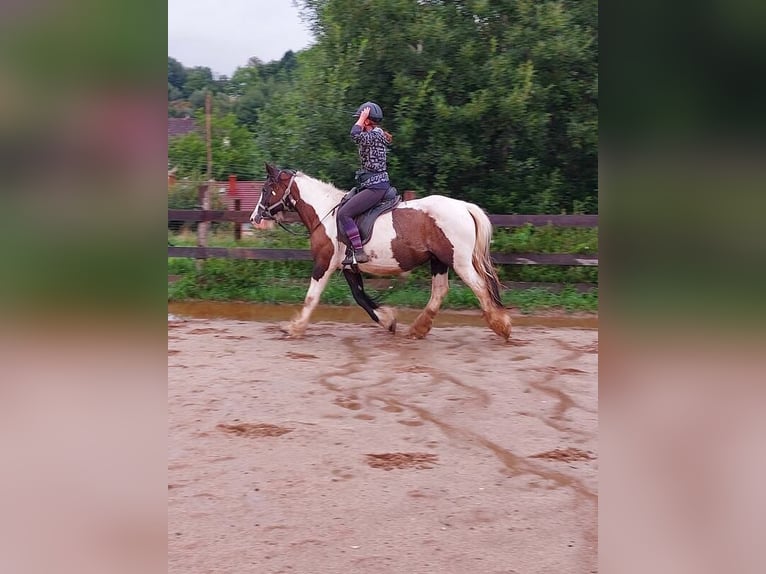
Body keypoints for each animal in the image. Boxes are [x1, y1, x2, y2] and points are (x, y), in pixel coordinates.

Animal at [254, 162, 516, 342]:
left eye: (266, 188)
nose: (256, 218)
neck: (325, 214)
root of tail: (464, 207)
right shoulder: (349, 267)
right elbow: (360, 297)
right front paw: (388, 320)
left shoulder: (324, 263)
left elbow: (312, 296)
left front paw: (294, 327)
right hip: (439, 260)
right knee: (440, 291)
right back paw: (418, 329)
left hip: (458, 261)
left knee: (479, 287)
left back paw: (501, 327)